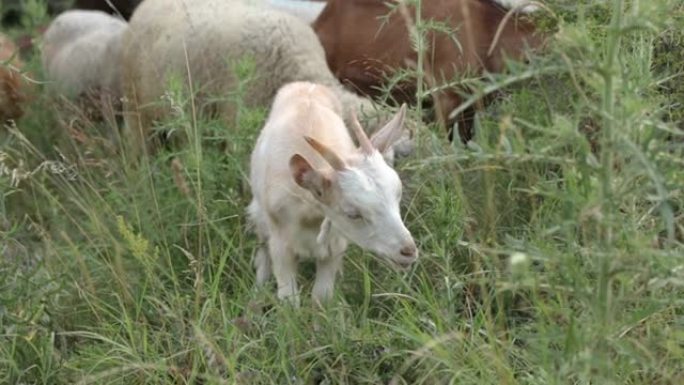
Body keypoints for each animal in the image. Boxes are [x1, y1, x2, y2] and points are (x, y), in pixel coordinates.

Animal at [246, 82, 416, 306]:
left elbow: (322, 298)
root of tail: (307, 85)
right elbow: (289, 300)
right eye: (353, 213)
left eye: (398, 194)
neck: (309, 216)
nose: (408, 251)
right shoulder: (281, 246)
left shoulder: (334, 246)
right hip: (259, 215)